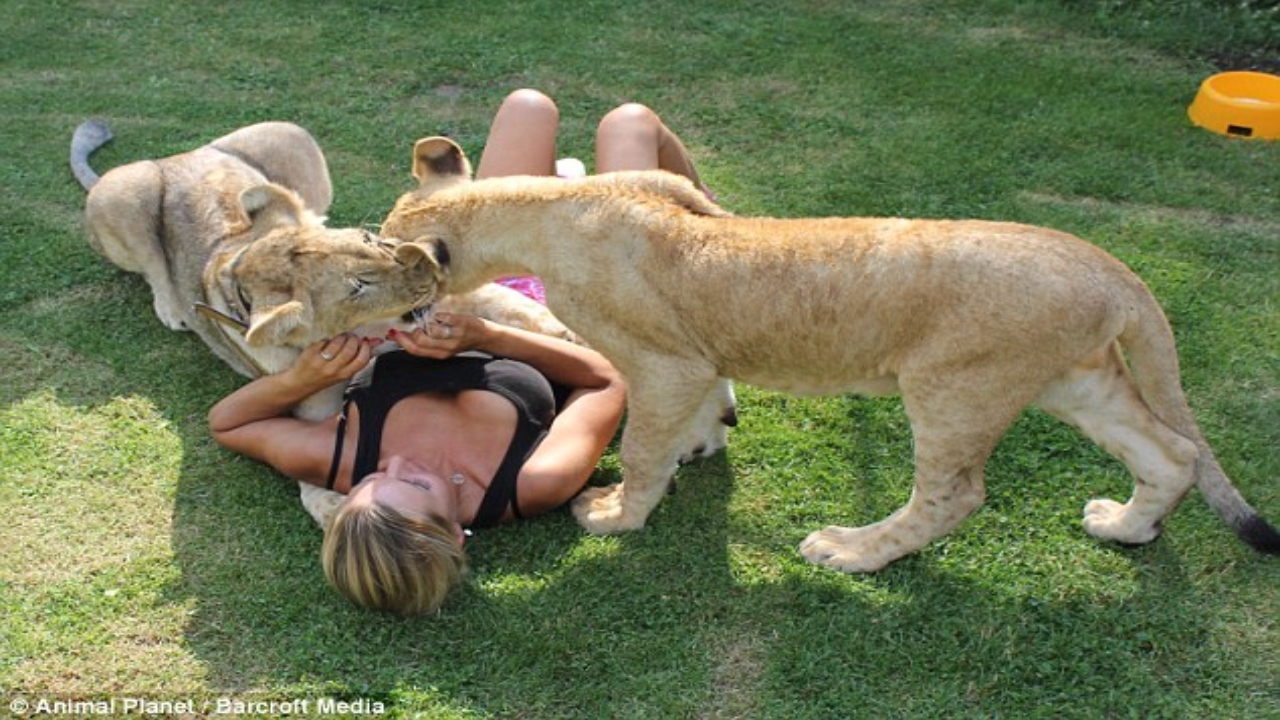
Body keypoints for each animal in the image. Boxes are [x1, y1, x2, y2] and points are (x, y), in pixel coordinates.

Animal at [378, 135, 1280, 571]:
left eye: (379, 267)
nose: (400, 322)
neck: (544, 211)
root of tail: (1111, 266)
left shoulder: (663, 362)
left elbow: (640, 448)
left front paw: (618, 515)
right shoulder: (692, 325)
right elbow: (702, 402)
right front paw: (706, 441)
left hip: (953, 385)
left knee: (953, 497)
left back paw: (850, 552)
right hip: (1076, 379)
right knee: (1170, 454)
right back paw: (1125, 527)